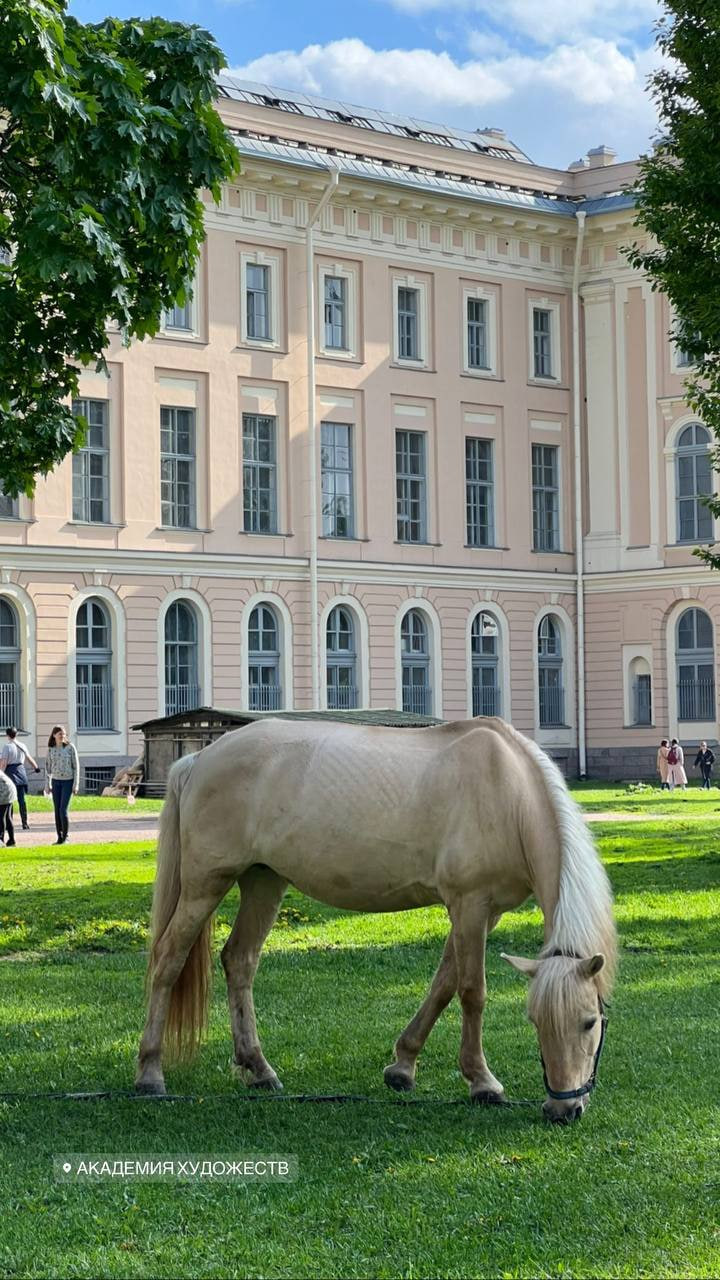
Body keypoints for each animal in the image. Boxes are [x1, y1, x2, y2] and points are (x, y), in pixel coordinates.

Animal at [137, 716, 614, 1126]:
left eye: (590, 1021)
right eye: (535, 1020)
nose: (563, 1109)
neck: (508, 792)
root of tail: (200, 759)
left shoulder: (484, 912)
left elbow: (443, 984)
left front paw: (402, 1067)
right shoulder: (469, 904)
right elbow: (471, 992)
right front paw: (483, 1083)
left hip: (263, 881)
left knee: (240, 960)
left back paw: (259, 1069)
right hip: (206, 884)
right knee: (168, 959)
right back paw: (150, 1074)